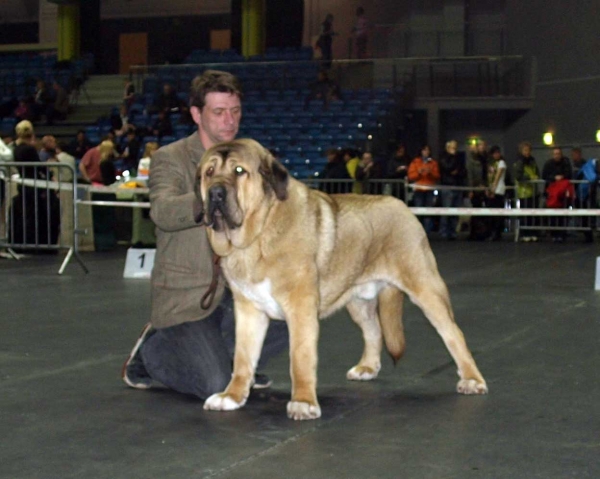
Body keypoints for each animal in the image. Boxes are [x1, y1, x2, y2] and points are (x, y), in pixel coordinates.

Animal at [197, 138, 488, 420]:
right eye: (209, 172)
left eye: (239, 171)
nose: (215, 193)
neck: (258, 234)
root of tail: (401, 205)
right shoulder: (248, 310)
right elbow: (243, 358)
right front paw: (232, 397)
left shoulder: (301, 308)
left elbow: (299, 358)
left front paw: (303, 402)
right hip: (359, 301)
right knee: (374, 330)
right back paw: (367, 367)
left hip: (425, 288)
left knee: (453, 333)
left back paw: (473, 379)